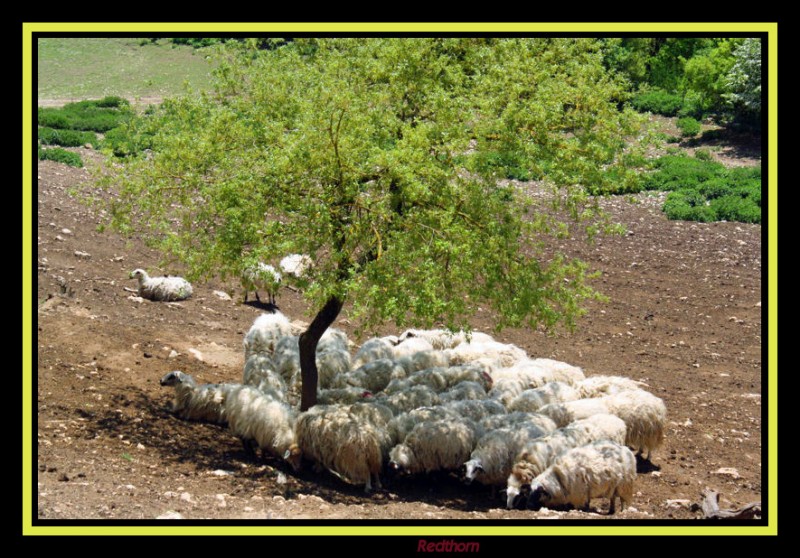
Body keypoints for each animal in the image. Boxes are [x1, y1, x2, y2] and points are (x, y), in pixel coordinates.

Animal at [536, 392, 668, 462]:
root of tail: (658, 402)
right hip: (643, 432)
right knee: (642, 443)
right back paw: (640, 451)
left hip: (651, 432)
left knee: (650, 446)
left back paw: (648, 457)